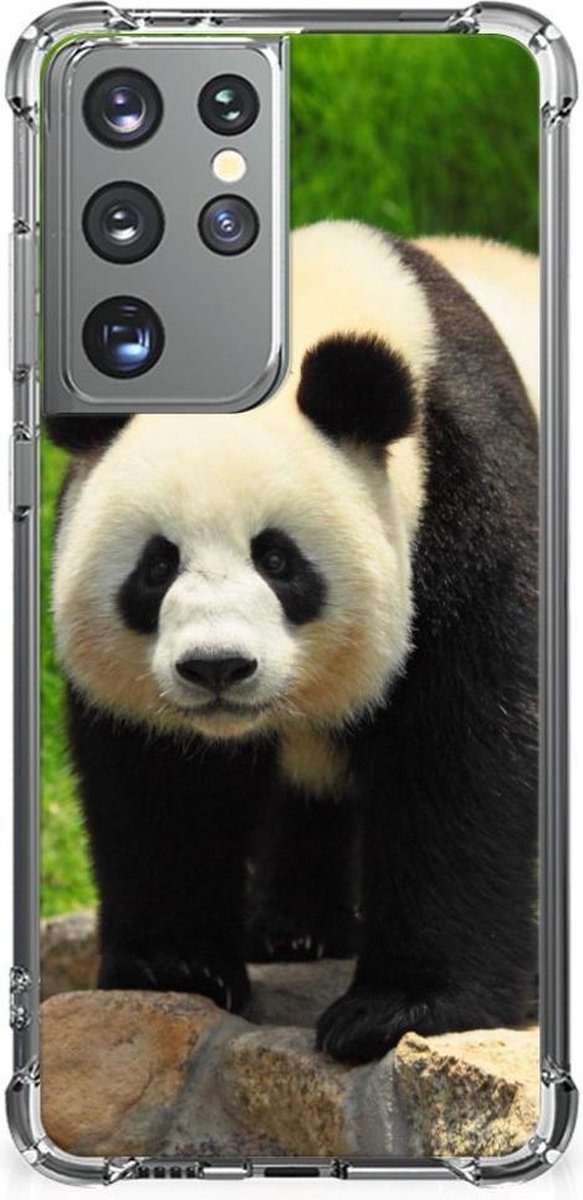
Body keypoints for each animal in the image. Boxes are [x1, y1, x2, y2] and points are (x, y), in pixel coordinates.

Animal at [48, 222, 539, 1064]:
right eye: (156, 565)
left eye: (277, 560)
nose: (216, 667)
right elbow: (160, 782)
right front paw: (176, 968)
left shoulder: (469, 499)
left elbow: (464, 753)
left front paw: (399, 1008)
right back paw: (296, 930)